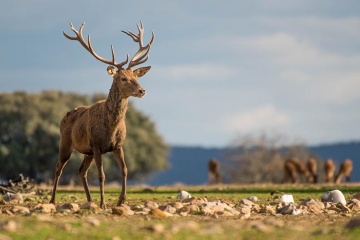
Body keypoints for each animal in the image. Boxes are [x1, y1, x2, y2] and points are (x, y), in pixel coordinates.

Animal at [48, 21, 153, 209]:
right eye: (123, 78)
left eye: (136, 76)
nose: (142, 90)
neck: (110, 127)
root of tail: (64, 115)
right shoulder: (97, 145)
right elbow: (102, 175)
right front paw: (104, 203)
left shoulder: (118, 145)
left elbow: (125, 170)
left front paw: (121, 200)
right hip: (65, 142)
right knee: (59, 167)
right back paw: (52, 200)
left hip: (87, 152)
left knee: (81, 171)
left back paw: (90, 200)